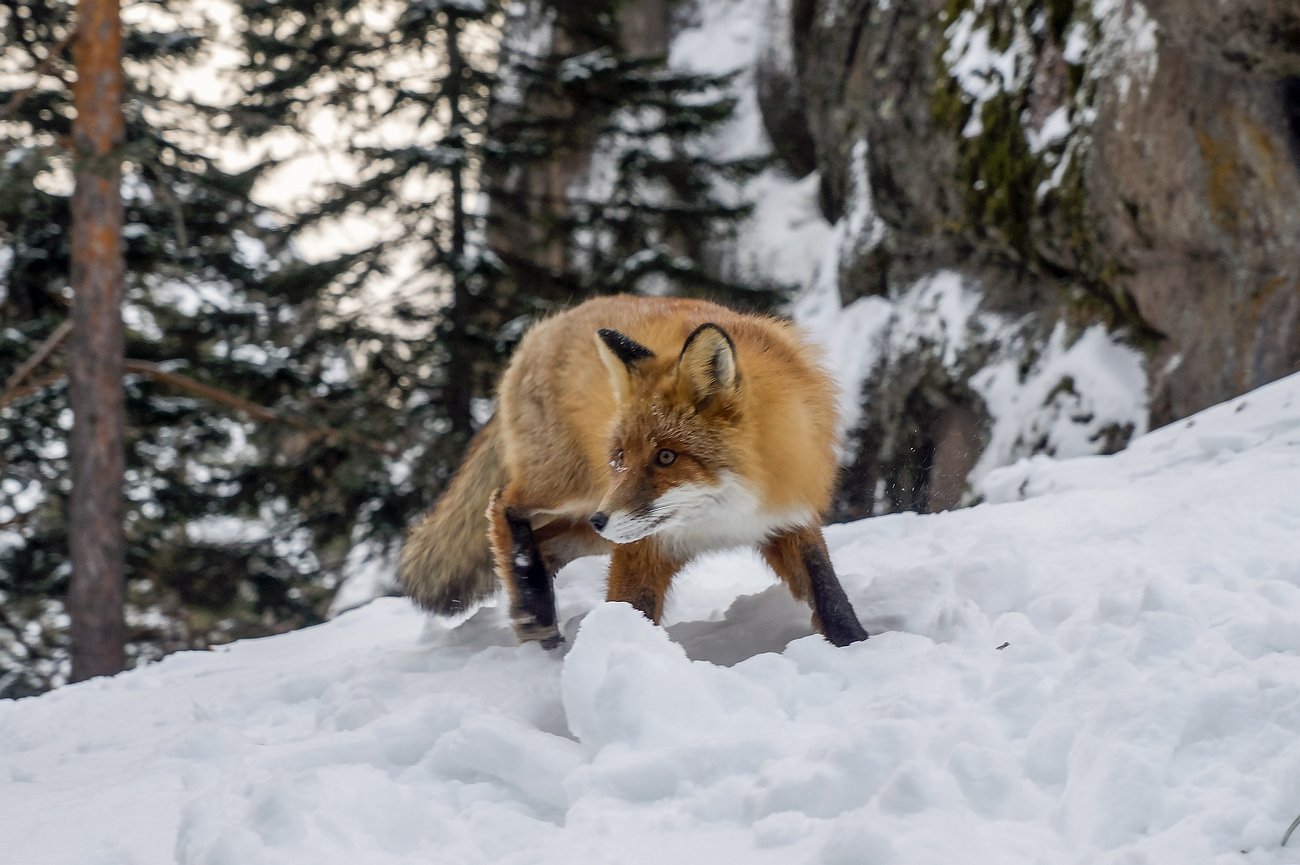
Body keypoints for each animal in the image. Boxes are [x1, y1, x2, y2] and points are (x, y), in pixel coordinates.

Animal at [400, 295, 868, 647]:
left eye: (666, 457)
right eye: (621, 456)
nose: (601, 519)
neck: (721, 515)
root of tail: (541, 329)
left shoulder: (788, 517)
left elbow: (830, 595)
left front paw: (855, 646)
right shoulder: (642, 546)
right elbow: (629, 610)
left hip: (590, 527)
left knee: (542, 545)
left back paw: (531, 607)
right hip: (570, 492)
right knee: (502, 505)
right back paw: (535, 611)